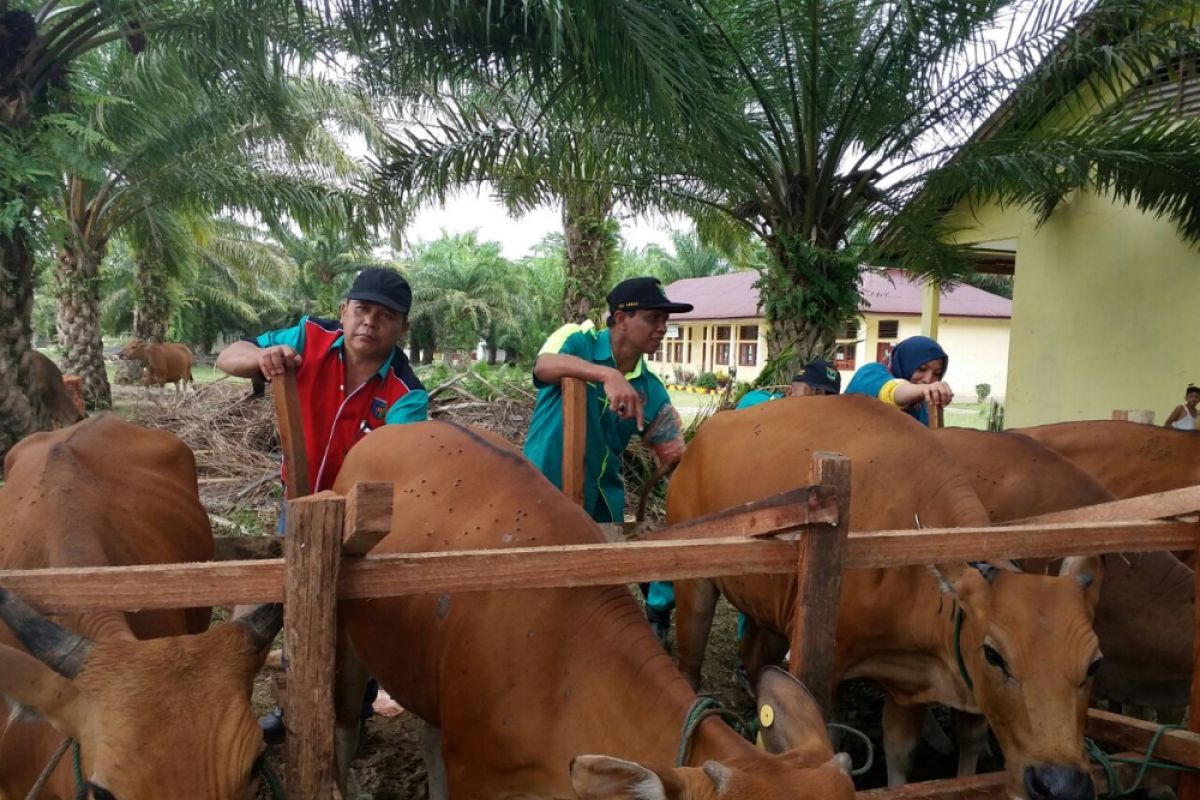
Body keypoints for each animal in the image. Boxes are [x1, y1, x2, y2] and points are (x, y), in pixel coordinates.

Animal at [672, 398, 1099, 800]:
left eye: (1094, 664)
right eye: (994, 654)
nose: (1060, 784)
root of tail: (706, 433)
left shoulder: (914, 681)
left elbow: (908, 752)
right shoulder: (829, 663)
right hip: (695, 589)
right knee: (690, 662)